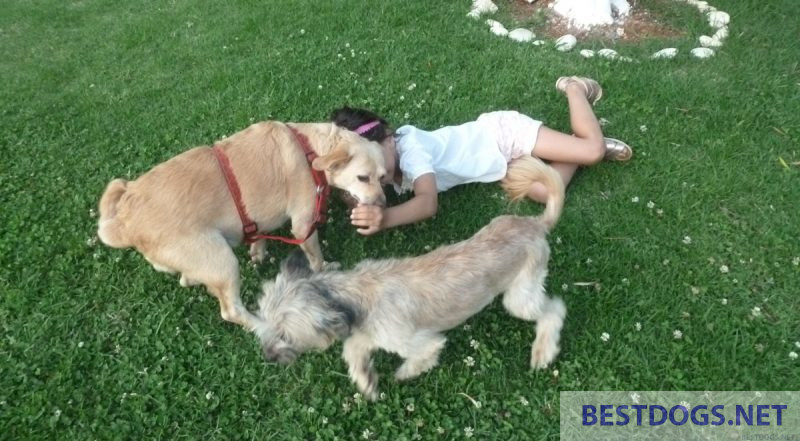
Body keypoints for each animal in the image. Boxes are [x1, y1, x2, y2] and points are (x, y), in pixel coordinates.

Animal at [98, 122, 386, 332]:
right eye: (363, 177)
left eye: (382, 177)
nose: (383, 204)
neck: (310, 150)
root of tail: (125, 220)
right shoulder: (304, 223)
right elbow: (315, 257)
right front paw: (325, 268)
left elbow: (258, 236)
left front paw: (258, 252)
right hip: (223, 261)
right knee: (231, 311)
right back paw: (261, 325)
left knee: (186, 278)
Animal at [256, 156, 564, 398]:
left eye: (284, 334)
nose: (267, 357)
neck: (353, 293)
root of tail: (536, 224)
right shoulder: (369, 333)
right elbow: (353, 349)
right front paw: (366, 379)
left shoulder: (418, 341)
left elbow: (421, 356)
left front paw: (403, 374)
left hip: (519, 298)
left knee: (555, 310)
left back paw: (543, 352)